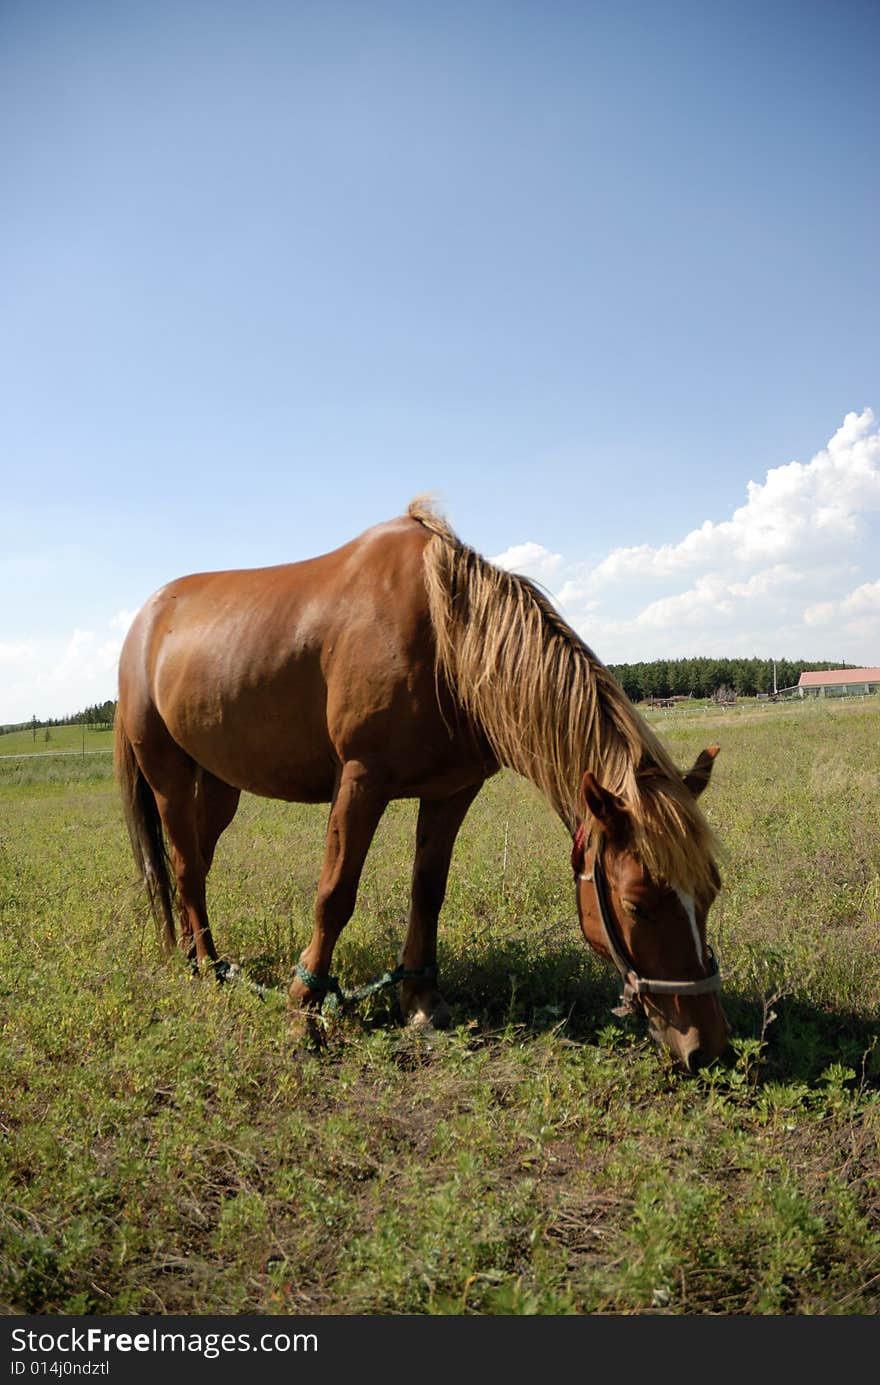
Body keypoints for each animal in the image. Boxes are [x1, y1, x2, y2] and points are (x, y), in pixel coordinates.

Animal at [115, 498, 731, 1069]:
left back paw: (200, 957)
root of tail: (145, 621)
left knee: (193, 864)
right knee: (185, 866)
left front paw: (421, 1000)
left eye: (710, 891)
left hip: (221, 786)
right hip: (168, 775)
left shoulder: (450, 791)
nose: (707, 1048)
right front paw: (303, 1013)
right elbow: (334, 895)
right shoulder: (361, 781)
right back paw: (206, 968)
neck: (443, 638)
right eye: (636, 906)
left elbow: (428, 890)